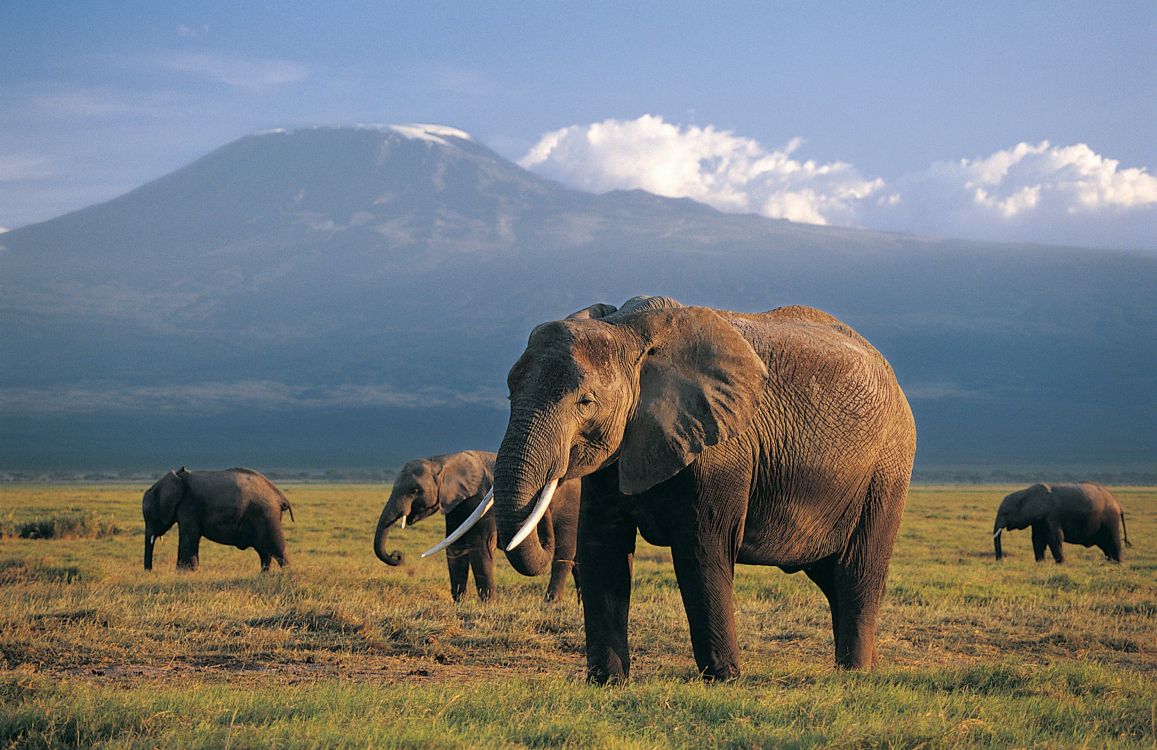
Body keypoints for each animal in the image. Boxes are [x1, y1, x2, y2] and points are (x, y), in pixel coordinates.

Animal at [142, 467, 294, 572]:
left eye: (149, 514)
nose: (149, 571)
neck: (177, 477)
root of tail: (280, 496)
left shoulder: (188, 506)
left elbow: (188, 536)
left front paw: (185, 572)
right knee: (263, 551)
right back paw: (264, 575)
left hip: (266, 515)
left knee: (277, 549)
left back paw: (287, 574)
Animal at [373, 450, 581, 602]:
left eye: (415, 490)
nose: (397, 555)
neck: (443, 461)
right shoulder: (456, 505)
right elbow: (455, 547)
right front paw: (459, 602)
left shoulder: (480, 500)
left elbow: (480, 547)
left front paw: (488, 604)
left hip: (571, 509)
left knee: (563, 554)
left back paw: (551, 603)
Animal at [434, 296, 916, 683]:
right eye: (509, 394)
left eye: (586, 402)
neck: (629, 332)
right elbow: (603, 549)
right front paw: (607, 683)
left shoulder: (722, 448)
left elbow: (702, 550)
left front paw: (724, 680)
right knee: (832, 579)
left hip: (888, 470)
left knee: (856, 574)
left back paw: (854, 673)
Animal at [993, 482, 1131, 563]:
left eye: (1005, 513)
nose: (1000, 561)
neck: (1025, 492)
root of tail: (1118, 504)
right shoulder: (1038, 520)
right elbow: (1037, 539)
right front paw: (1040, 563)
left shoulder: (1052, 516)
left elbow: (1054, 538)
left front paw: (1060, 564)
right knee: (1106, 545)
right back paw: (1110, 563)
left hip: (1110, 519)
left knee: (1112, 541)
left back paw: (1118, 564)